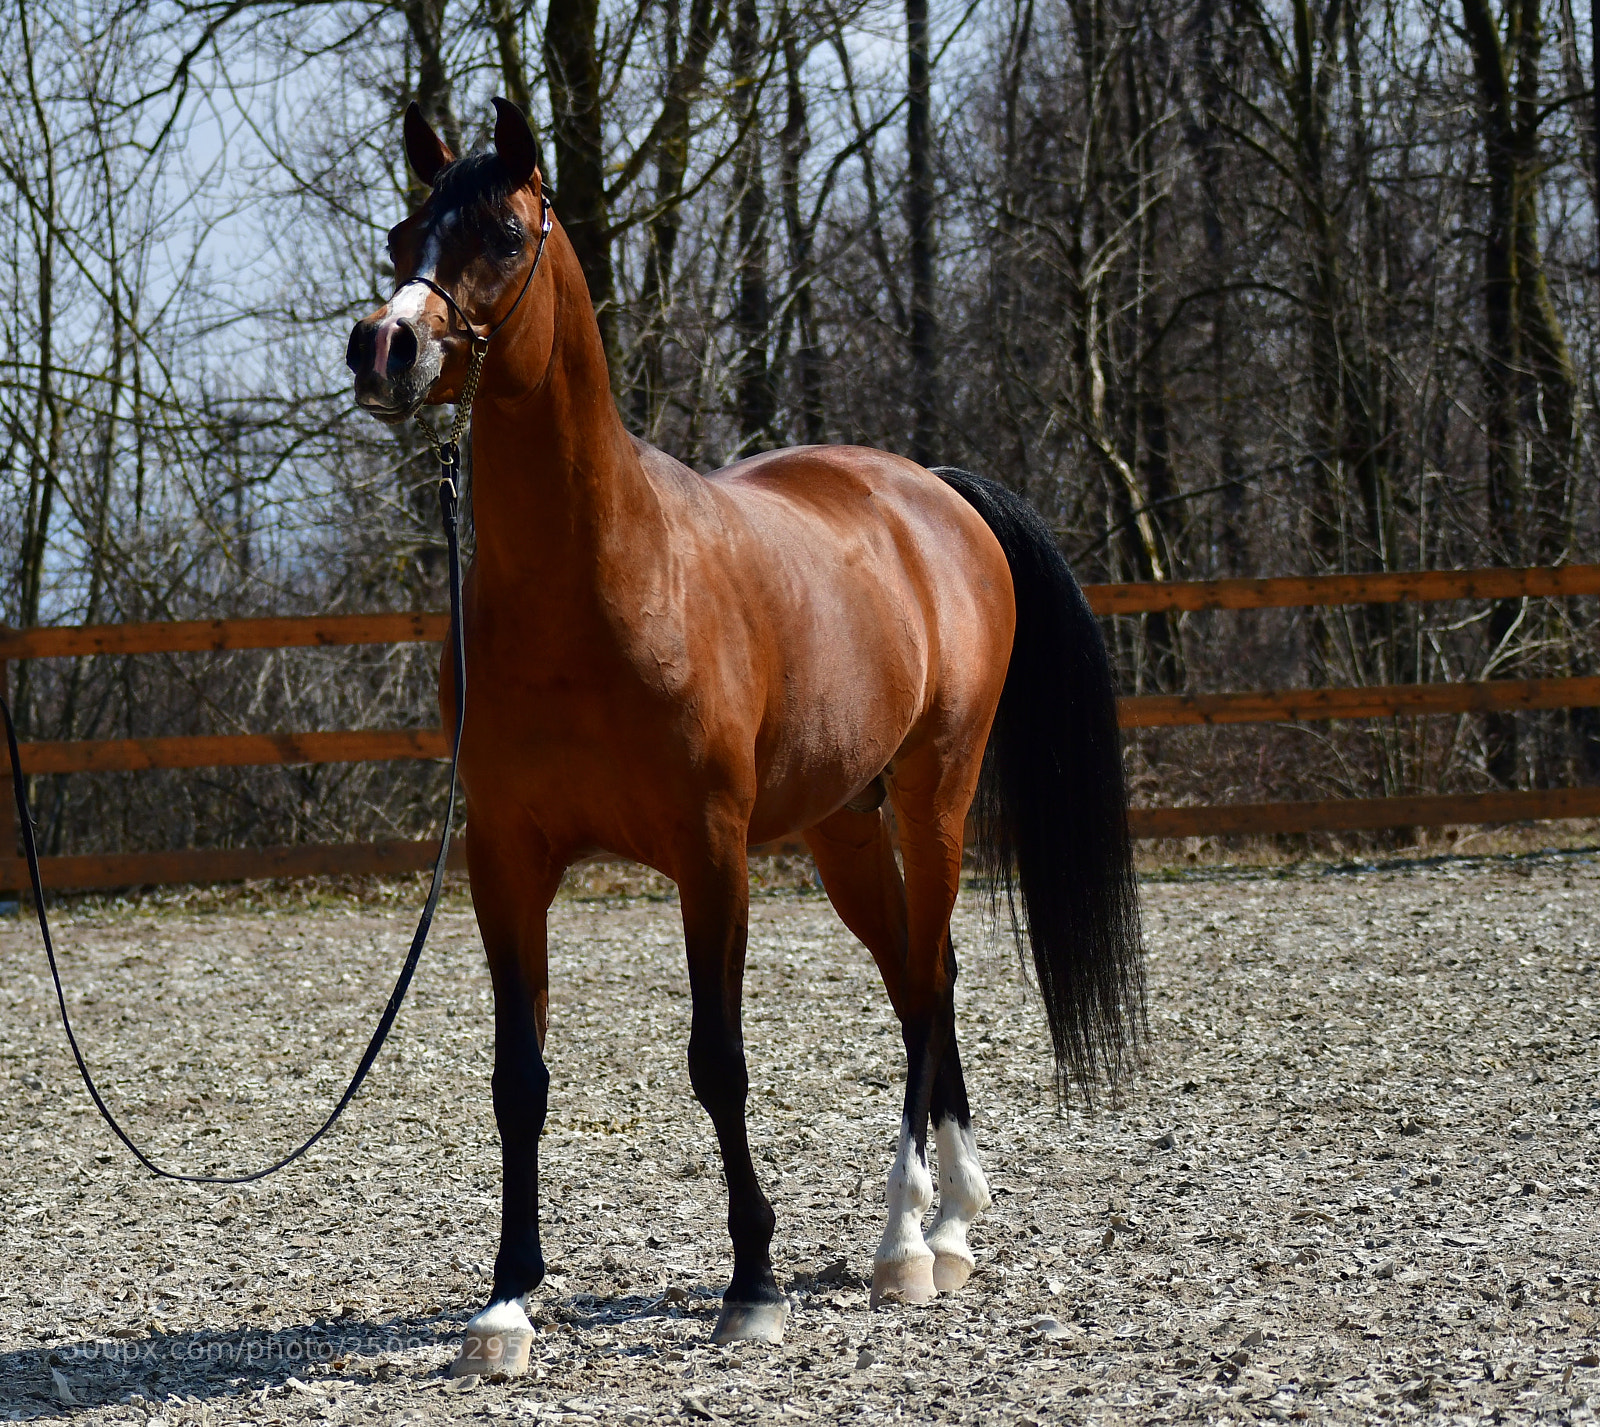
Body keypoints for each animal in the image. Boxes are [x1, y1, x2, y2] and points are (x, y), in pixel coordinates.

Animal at [346, 97, 1142, 1376]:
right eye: (401, 232)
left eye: (506, 234)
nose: (384, 347)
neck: (599, 582)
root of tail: (931, 491)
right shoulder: (504, 859)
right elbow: (518, 1077)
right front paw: (508, 1301)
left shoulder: (709, 854)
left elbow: (717, 1061)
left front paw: (752, 1282)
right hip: (844, 828)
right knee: (921, 978)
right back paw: (947, 1219)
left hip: (935, 792)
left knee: (927, 975)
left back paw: (906, 1242)